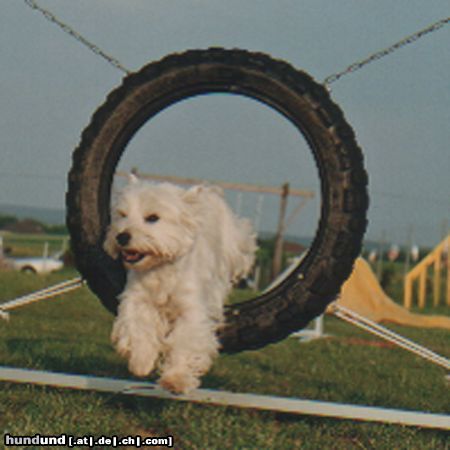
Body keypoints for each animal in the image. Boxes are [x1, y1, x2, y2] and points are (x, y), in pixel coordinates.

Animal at [103, 176, 255, 394]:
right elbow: (138, 327)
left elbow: (184, 341)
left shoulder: (190, 310)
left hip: (234, 246)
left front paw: (175, 379)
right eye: (122, 215)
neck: (161, 269)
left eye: (153, 218)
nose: (121, 236)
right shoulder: (137, 299)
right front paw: (141, 362)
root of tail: (208, 190)